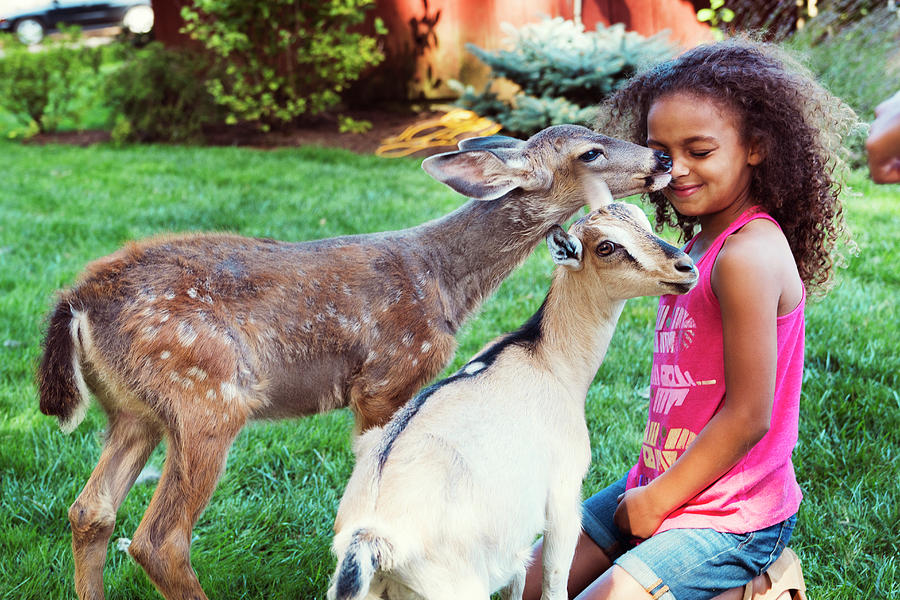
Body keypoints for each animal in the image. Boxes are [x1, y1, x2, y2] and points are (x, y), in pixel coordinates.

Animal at [328, 203, 696, 600]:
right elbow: (553, 581)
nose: (685, 267)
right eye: (607, 247)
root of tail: (372, 537)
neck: (549, 360)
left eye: (645, 223)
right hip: (460, 586)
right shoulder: (564, 496)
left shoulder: (514, 542)